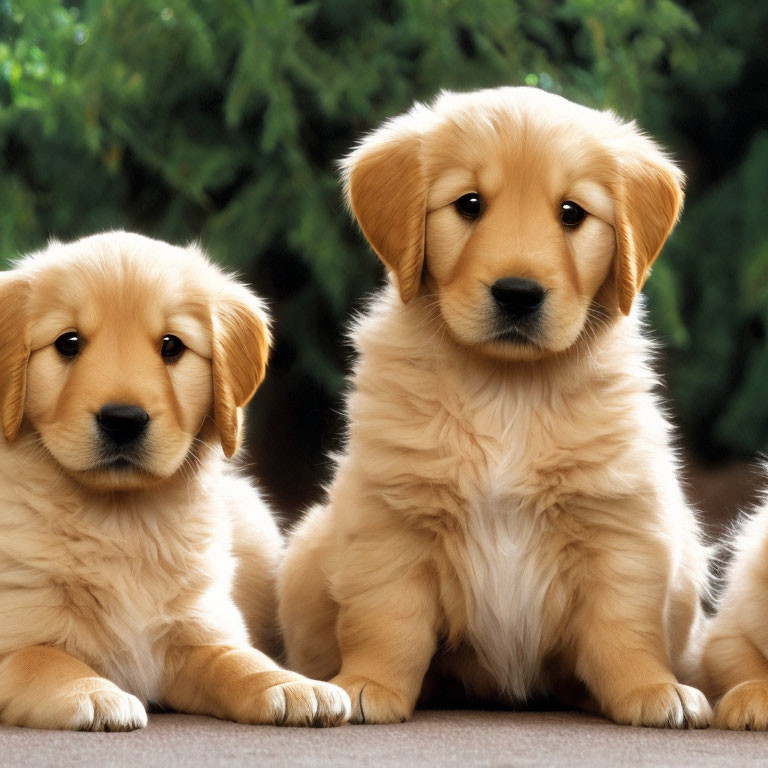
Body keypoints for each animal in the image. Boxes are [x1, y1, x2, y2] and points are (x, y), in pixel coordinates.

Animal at [0, 232, 350, 732]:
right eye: (68, 343)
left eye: (172, 346)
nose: (123, 420)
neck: (122, 521)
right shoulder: (16, 635)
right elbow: (46, 659)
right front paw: (90, 692)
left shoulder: (200, 627)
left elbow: (239, 659)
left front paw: (288, 685)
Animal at [280, 87, 712, 728]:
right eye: (469, 204)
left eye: (572, 213)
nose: (517, 293)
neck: (508, 391)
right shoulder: (392, 522)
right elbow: (388, 623)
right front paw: (367, 684)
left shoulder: (620, 524)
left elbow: (624, 627)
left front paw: (652, 688)